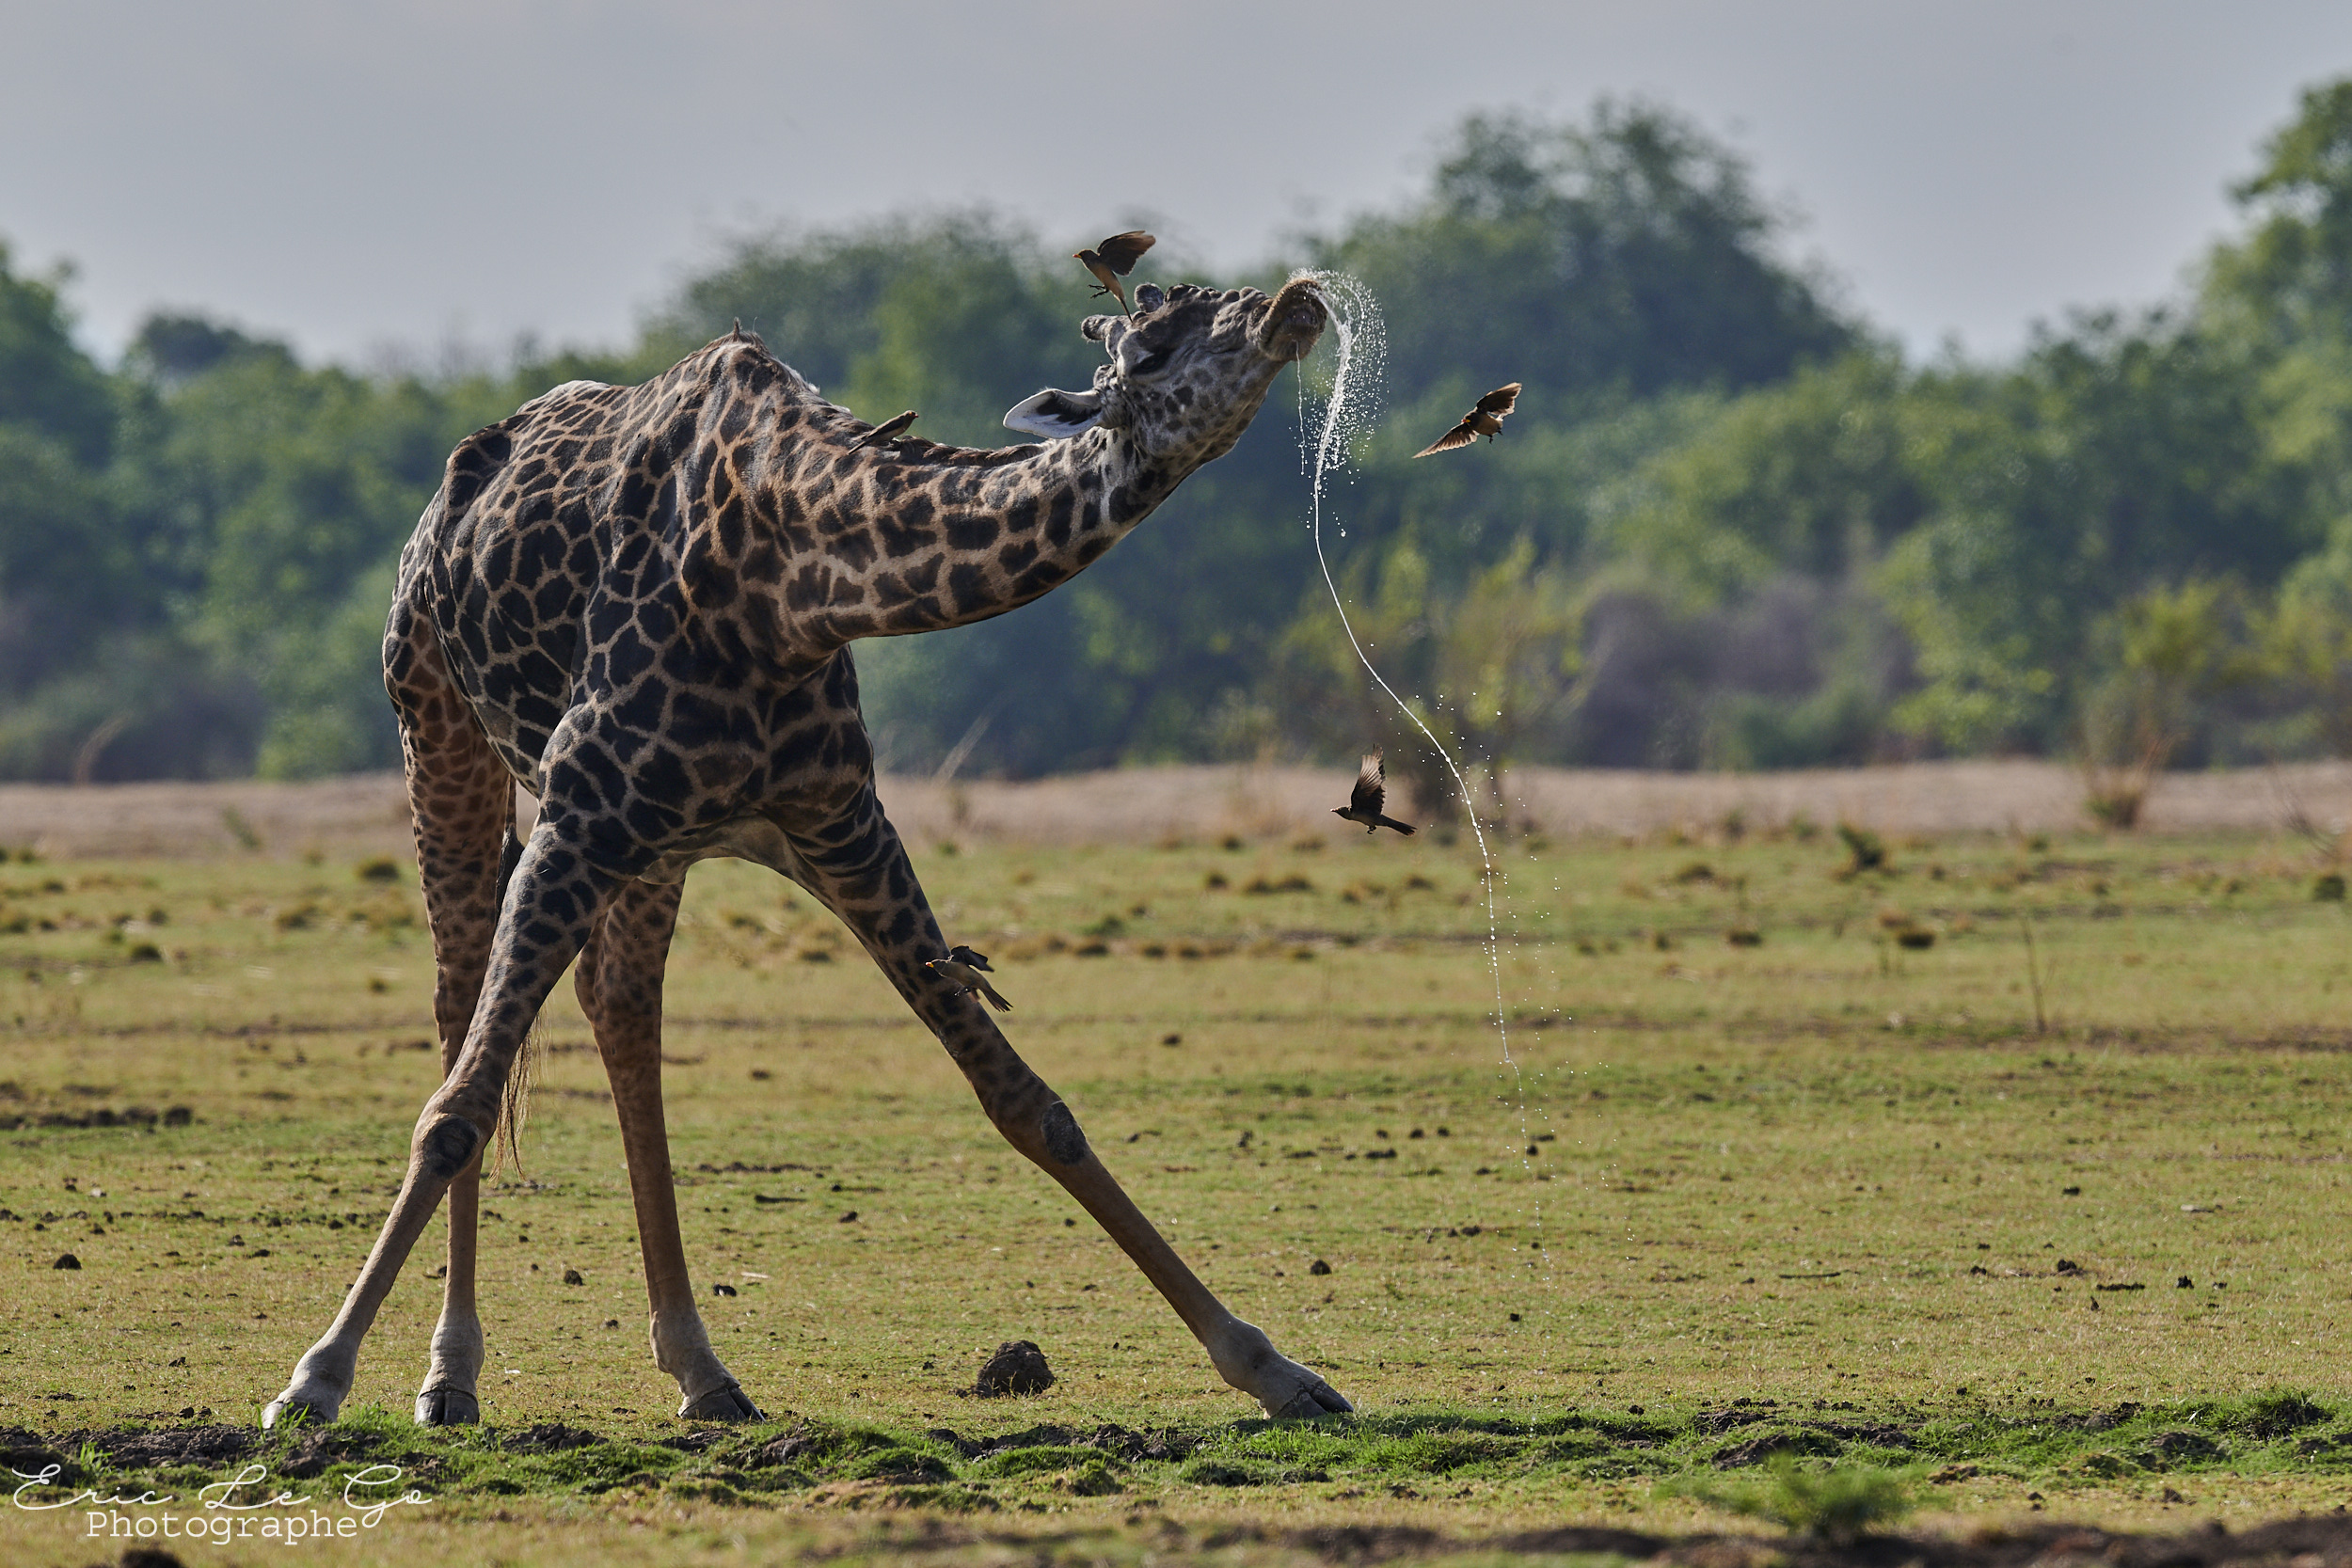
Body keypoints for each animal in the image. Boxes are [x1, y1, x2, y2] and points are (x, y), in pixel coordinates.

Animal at [260, 277, 1354, 1429]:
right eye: (1152, 348)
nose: (1292, 303)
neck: (792, 583)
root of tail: (444, 504)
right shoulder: (579, 811)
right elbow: (457, 1110)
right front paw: (315, 1376)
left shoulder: (840, 820)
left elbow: (1029, 1102)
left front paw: (1275, 1367)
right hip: (441, 733)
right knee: (458, 1011)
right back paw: (451, 1374)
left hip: (654, 848)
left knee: (620, 1010)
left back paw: (700, 1366)